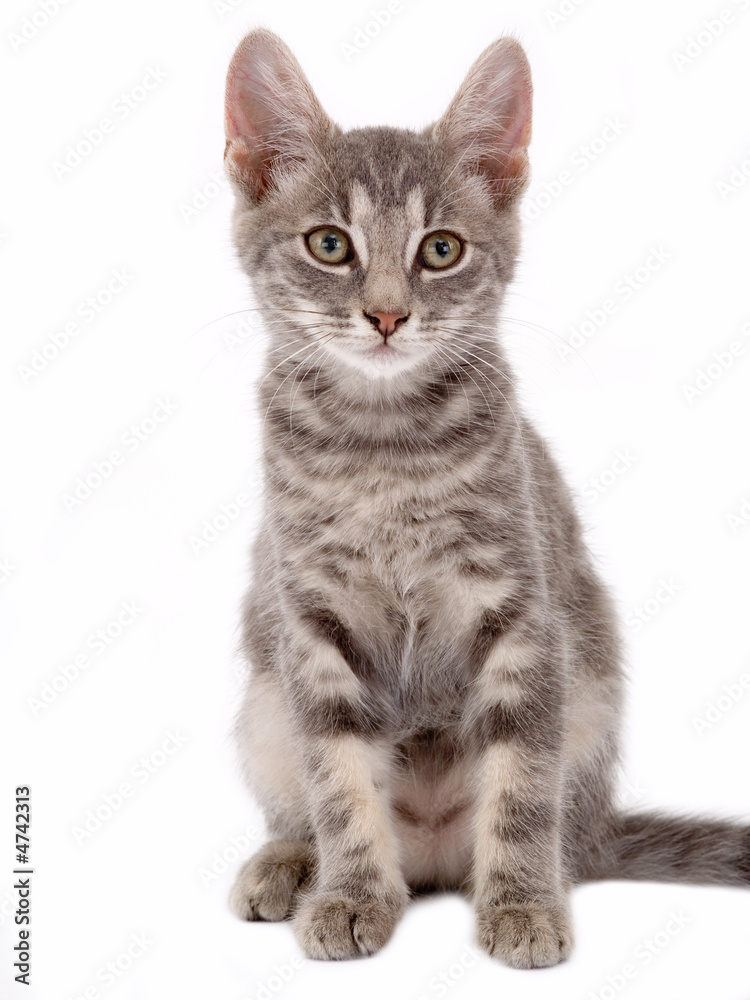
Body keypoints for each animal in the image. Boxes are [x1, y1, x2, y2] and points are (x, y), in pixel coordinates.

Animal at [225, 29, 750, 968]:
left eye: (441, 250)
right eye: (329, 245)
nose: (387, 316)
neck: (383, 448)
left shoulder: (521, 608)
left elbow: (522, 782)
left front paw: (522, 905)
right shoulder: (309, 619)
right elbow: (337, 778)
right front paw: (350, 892)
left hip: (590, 705)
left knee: (557, 821)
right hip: (261, 701)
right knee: (297, 799)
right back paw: (291, 863)